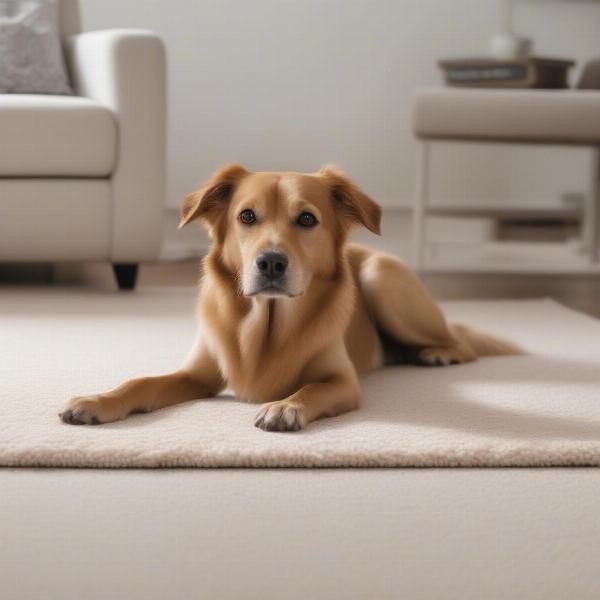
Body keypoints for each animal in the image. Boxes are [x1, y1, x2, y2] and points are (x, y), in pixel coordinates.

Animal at [61, 164, 520, 432]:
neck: (266, 324)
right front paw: (97, 401)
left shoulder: (343, 382)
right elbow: (141, 382)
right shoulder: (197, 375)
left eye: (307, 219)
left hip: (381, 278)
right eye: (247, 216)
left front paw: (284, 407)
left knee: (459, 341)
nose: (270, 262)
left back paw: (437, 354)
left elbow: (310, 389)